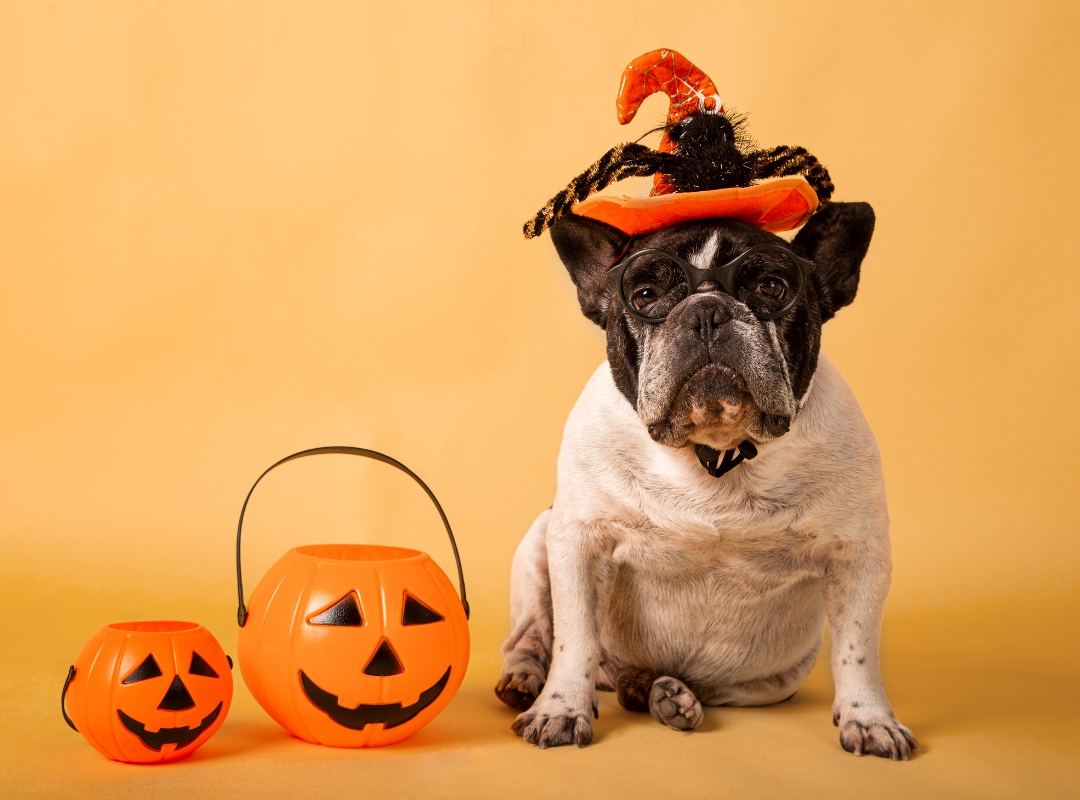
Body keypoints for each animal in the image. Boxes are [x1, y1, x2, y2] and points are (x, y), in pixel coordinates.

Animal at [496, 202, 920, 760]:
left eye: (771, 286)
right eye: (644, 295)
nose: (706, 311)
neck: (716, 453)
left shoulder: (859, 552)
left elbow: (857, 649)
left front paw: (870, 720)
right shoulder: (578, 541)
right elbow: (574, 637)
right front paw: (560, 709)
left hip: (765, 684)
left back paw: (667, 695)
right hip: (535, 544)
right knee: (530, 634)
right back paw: (525, 679)